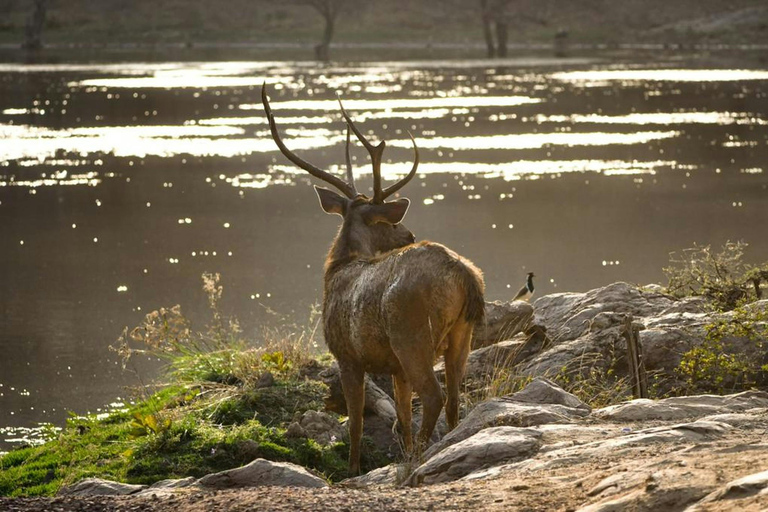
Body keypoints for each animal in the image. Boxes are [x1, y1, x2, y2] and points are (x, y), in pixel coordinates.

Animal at [260, 85, 484, 476]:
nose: (408, 233)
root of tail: (464, 274)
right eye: (386, 221)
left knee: (435, 395)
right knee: (455, 397)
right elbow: (402, 415)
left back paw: (421, 454)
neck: (337, 268)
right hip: (461, 333)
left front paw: (352, 470)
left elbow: (356, 421)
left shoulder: (346, 354)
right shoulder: (394, 366)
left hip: (411, 333)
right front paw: (400, 451)